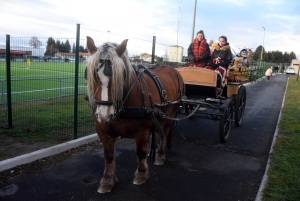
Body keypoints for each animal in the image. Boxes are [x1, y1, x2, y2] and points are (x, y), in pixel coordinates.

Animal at [84, 36, 183, 193]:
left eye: (121, 75)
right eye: (90, 74)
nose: (105, 115)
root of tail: (172, 68)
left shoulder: (142, 131)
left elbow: (140, 152)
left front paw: (141, 175)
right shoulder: (102, 130)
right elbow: (108, 155)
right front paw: (107, 180)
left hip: (171, 111)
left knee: (166, 131)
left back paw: (160, 155)